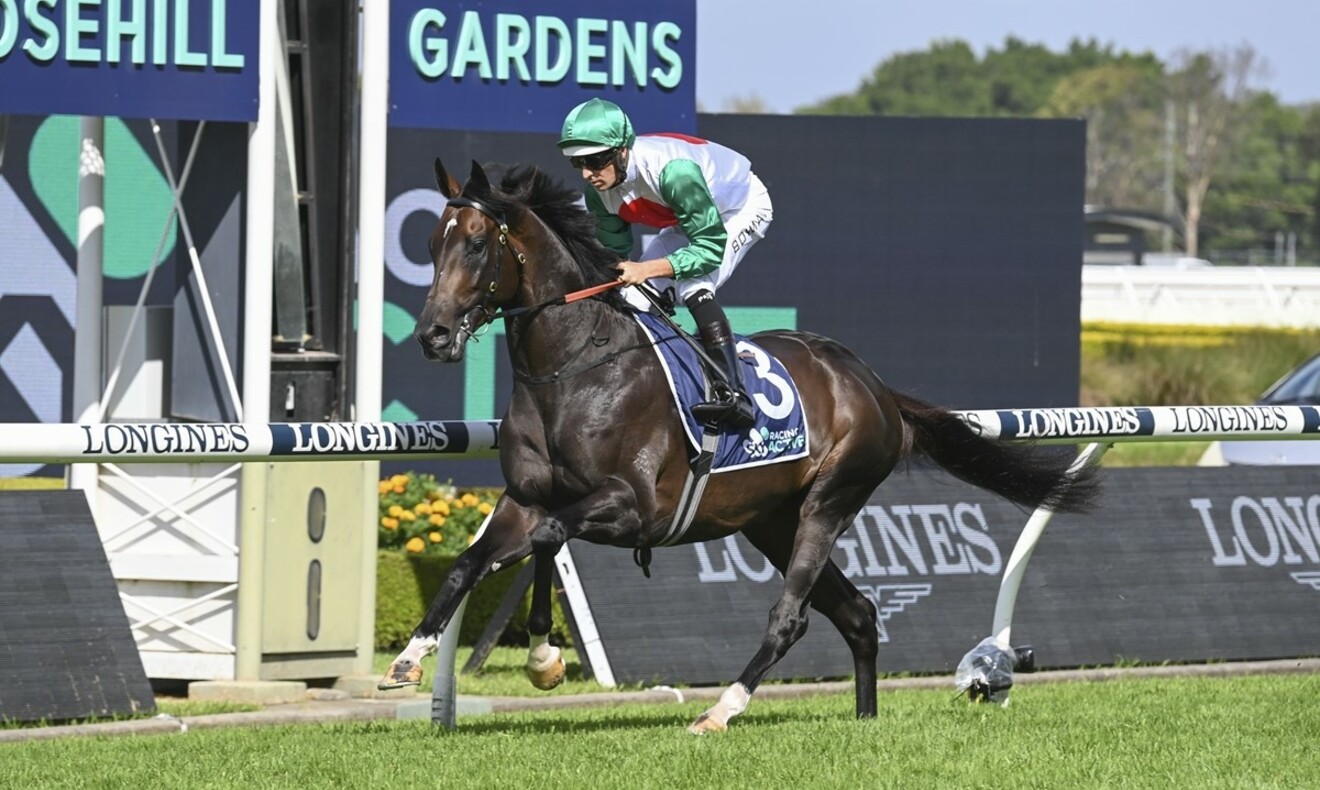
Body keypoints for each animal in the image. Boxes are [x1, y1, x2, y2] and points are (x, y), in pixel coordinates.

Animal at [382, 161, 1103, 734]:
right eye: (431, 242)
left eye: (478, 244)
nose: (433, 335)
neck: (575, 368)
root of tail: (871, 384)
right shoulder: (523, 498)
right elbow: (470, 563)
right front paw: (410, 660)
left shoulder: (632, 506)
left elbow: (549, 537)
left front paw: (543, 659)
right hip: (771, 521)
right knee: (858, 612)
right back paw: (864, 718)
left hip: (828, 501)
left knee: (792, 618)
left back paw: (722, 709)